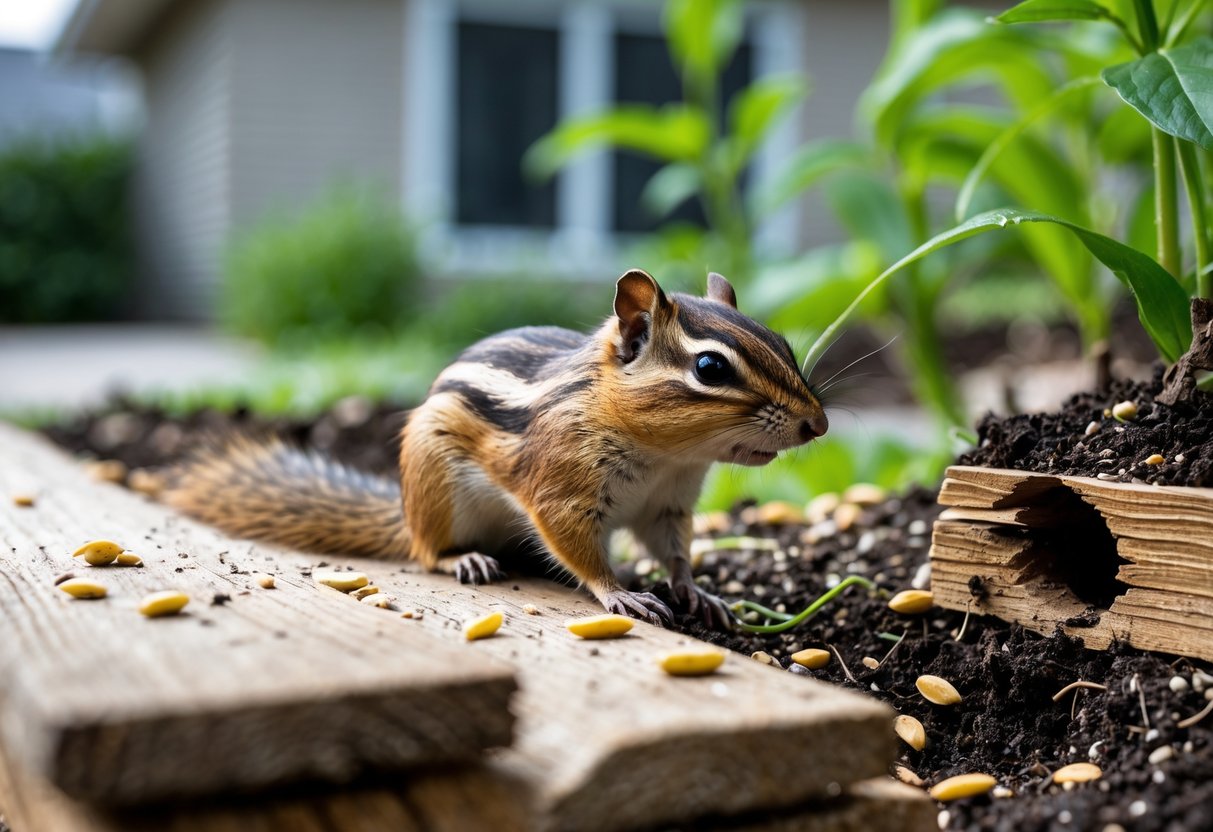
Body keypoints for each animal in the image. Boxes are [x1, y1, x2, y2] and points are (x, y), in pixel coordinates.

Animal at [163, 269, 828, 628]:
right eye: (711, 368)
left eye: (782, 343)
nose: (818, 426)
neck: (667, 457)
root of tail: (405, 512)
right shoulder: (561, 488)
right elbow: (577, 548)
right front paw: (620, 591)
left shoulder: (668, 505)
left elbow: (676, 552)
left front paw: (697, 592)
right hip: (437, 492)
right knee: (426, 552)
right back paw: (466, 560)